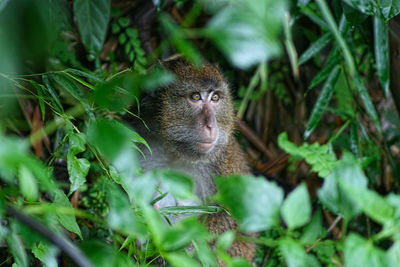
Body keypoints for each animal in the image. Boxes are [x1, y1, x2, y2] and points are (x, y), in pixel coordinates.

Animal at [132, 57, 256, 264]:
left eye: (215, 98)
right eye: (196, 97)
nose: (210, 125)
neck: (175, 152)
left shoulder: (221, 164)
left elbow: (229, 216)